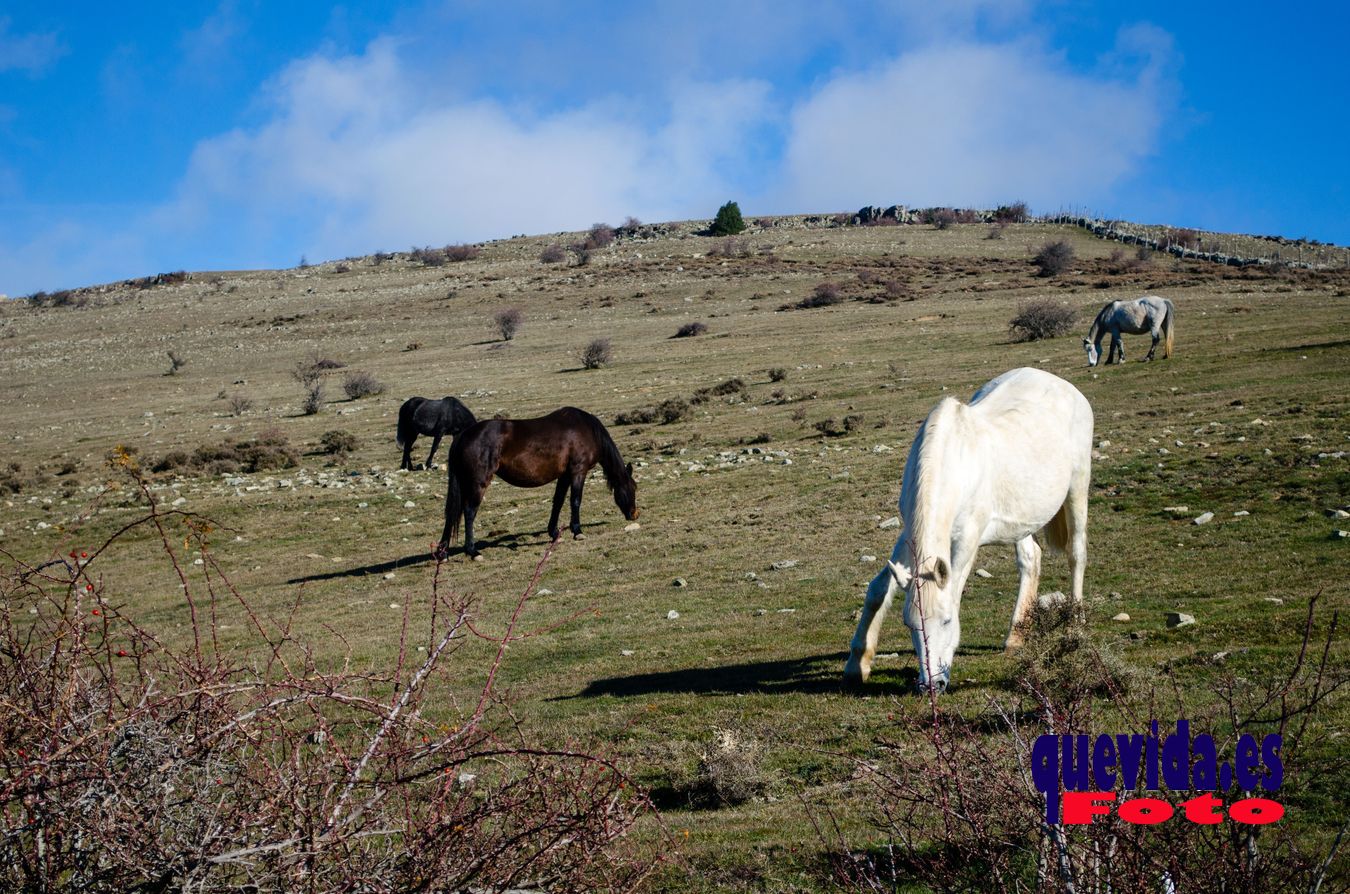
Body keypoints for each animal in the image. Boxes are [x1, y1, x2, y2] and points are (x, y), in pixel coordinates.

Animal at [434, 407, 639, 561]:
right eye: (633, 488)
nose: (634, 514)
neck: (586, 429)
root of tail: (463, 436)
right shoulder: (577, 471)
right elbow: (575, 501)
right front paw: (577, 531)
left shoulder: (564, 475)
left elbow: (558, 501)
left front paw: (554, 533)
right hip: (478, 483)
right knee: (469, 512)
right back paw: (473, 551)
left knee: (452, 513)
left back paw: (443, 553)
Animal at [842, 367, 1096, 696]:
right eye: (910, 625)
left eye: (948, 621)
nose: (932, 685)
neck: (953, 464)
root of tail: (1063, 385)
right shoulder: (910, 534)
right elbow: (877, 589)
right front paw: (857, 665)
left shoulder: (967, 539)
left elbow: (955, 591)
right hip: (1022, 516)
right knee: (1031, 558)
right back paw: (1016, 637)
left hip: (1078, 487)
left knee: (1076, 555)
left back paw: (1075, 627)